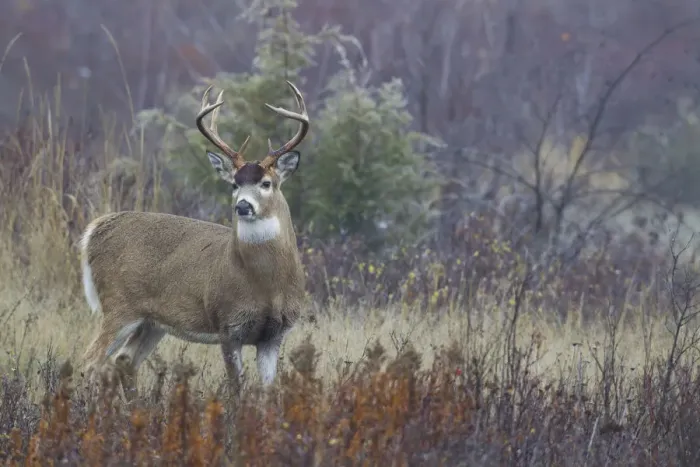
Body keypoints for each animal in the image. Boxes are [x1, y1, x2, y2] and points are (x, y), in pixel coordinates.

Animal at [79, 80, 310, 400]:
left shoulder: (274, 334)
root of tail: (95, 230)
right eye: (235, 183)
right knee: (89, 362)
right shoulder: (227, 324)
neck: (266, 285)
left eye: (267, 183)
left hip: (152, 322)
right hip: (119, 304)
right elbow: (236, 387)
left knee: (124, 359)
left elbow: (268, 390)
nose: (243, 206)